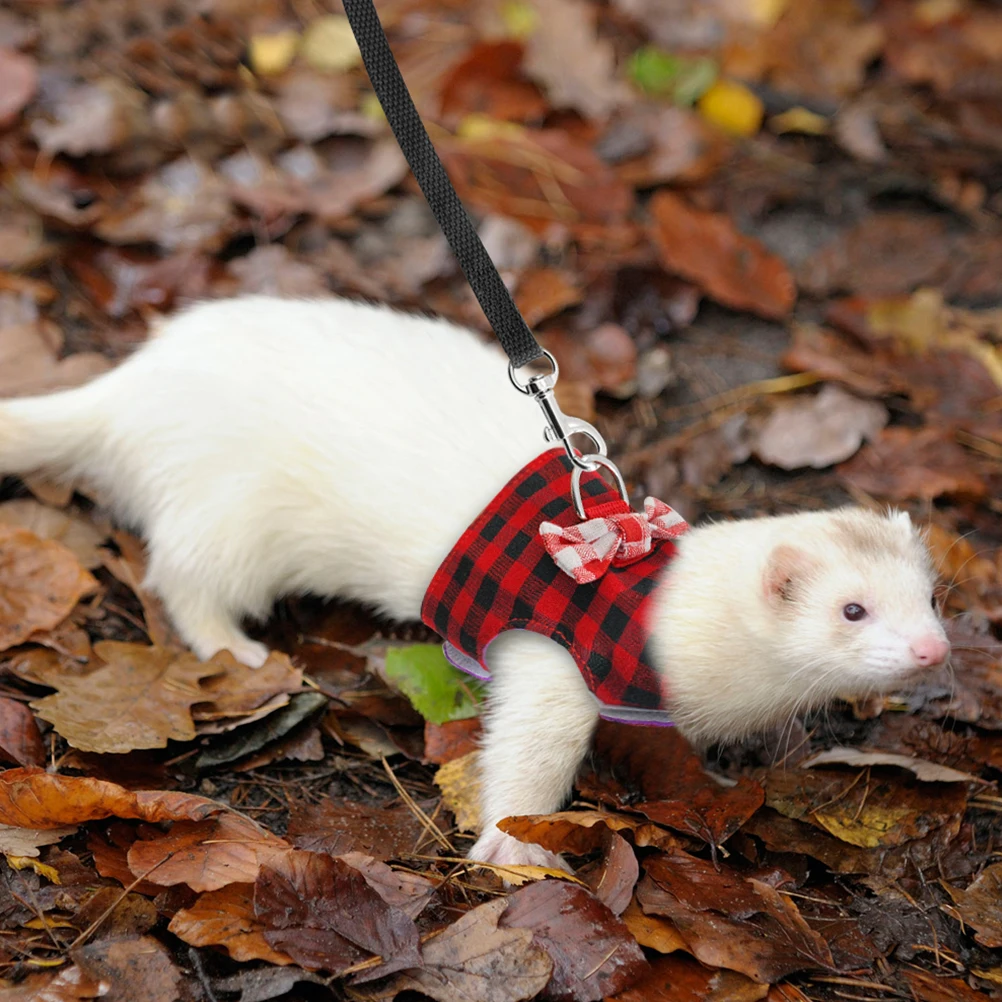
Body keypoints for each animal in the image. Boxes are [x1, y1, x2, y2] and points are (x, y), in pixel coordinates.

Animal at [0, 295, 948, 868]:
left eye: (932, 594)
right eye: (853, 608)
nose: (934, 649)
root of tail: (132, 385)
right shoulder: (550, 660)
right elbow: (522, 756)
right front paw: (516, 850)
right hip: (222, 515)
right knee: (181, 576)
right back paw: (239, 647)